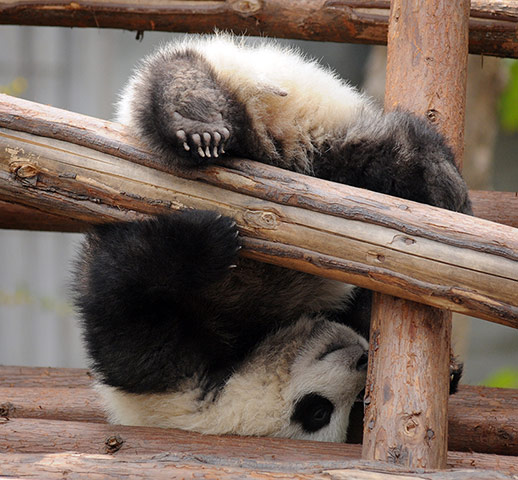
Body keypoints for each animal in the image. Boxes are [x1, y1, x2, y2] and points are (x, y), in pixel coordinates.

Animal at [74, 35, 476, 444]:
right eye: (318, 412)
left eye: (349, 405)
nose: (363, 359)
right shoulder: (158, 367)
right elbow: (126, 292)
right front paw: (212, 239)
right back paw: (194, 122)